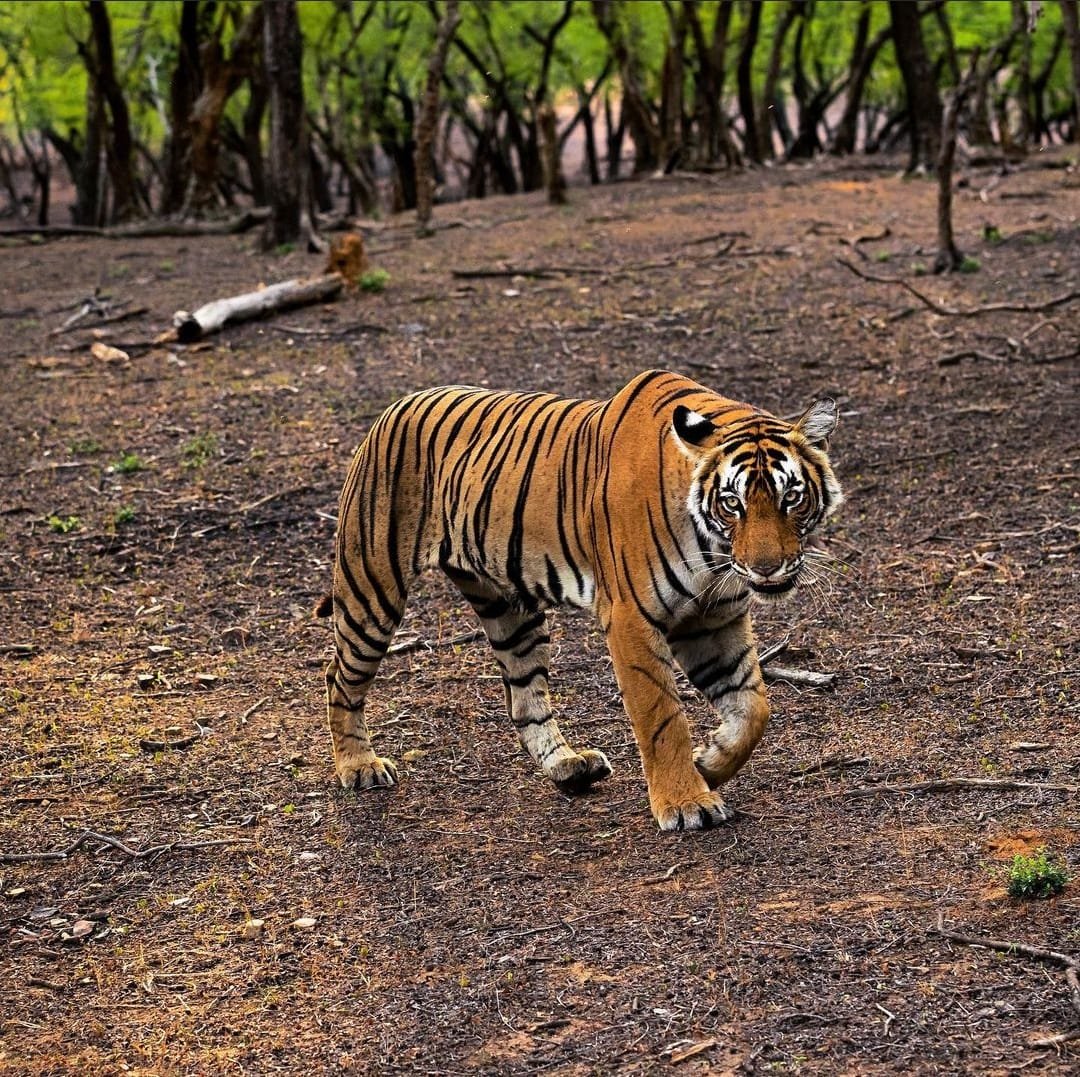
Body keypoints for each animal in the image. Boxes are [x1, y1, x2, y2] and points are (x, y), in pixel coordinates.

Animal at [318, 369, 843, 831]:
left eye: (791, 497)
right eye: (733, 503)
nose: (767, 568)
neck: (714, 552)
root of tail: (395, 407)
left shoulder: (715, 617)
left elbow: (753, 708)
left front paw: (709, 763)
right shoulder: (632, 617)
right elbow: (661, 716)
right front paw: (686, 802)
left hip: (511, 611)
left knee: (524, 696)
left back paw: (569, 766)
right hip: (372, 588)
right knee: (339, 675)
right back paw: (359, 766)